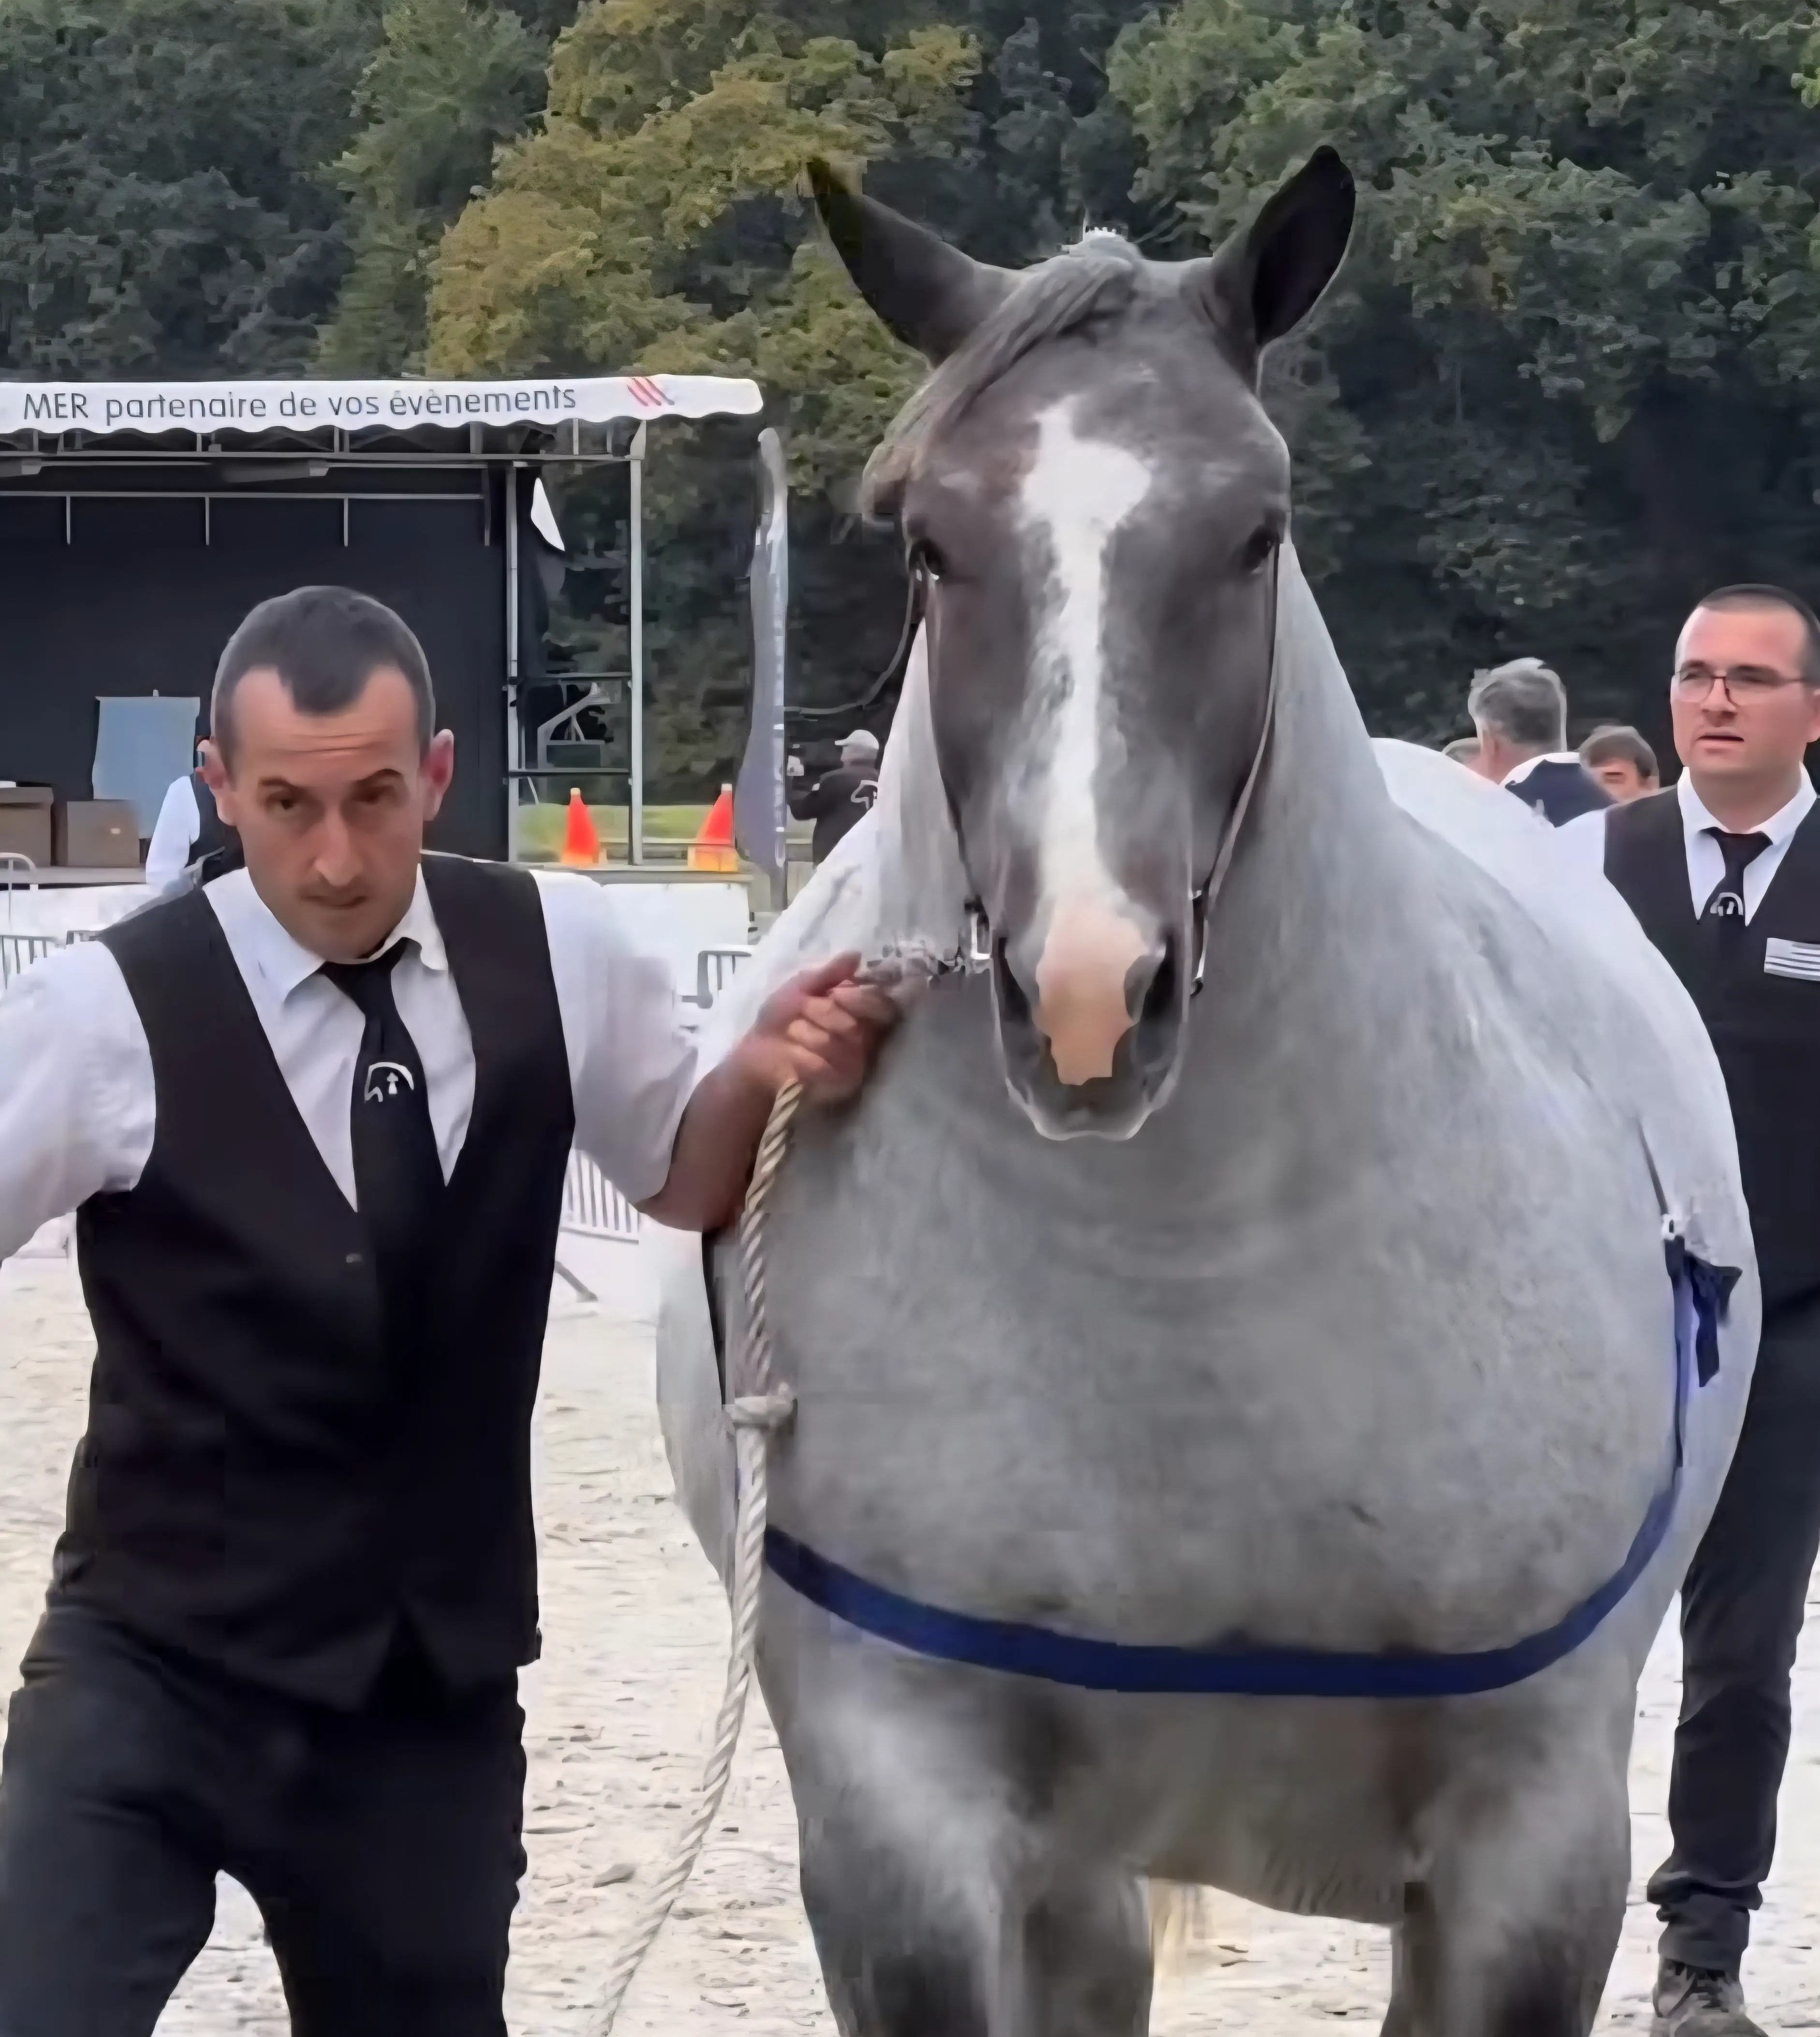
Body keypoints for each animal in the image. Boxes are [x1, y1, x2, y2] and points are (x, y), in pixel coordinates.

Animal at [651, 149, 1758, 2036]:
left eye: (1256, 530)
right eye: (928, 542)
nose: (1092, 999)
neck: (1192, 1306)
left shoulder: (1529, 1854)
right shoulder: (902, 1829)